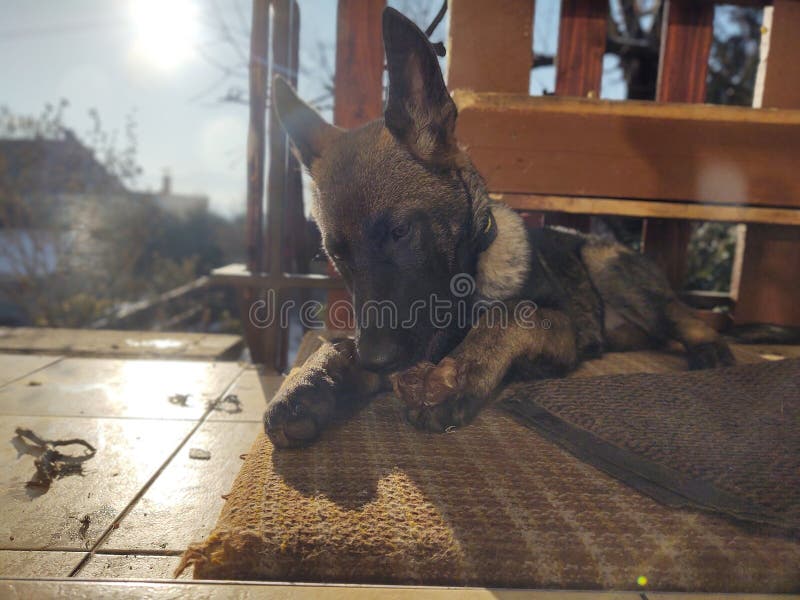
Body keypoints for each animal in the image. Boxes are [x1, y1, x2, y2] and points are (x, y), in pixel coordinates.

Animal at [266, 8, 736, 450]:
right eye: (336, 256)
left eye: (400, 232)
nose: (376, 360)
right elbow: (335, 344)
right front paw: (308, 385)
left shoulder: (557, 324)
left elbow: (508, 314)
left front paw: (458, 377)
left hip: (607, 266)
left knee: (689, 318)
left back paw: (709, 348)